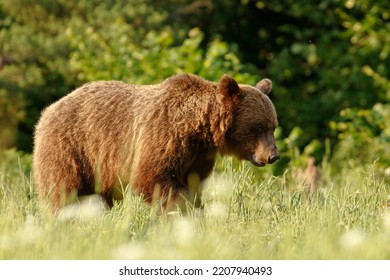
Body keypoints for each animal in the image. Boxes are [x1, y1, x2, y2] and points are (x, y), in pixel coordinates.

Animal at [32, 73, 278, 211]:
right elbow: (152, 179)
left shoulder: (197, 157)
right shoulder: (162, 136)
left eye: (273, 126)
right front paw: (184, 210)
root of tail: (48, 110)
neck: (198, 130)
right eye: (259, 127)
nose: (273, 155)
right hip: (71, 147)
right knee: (62, 190)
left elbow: (194, 185)